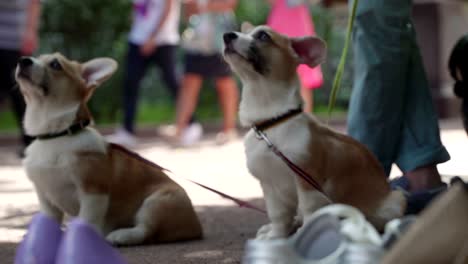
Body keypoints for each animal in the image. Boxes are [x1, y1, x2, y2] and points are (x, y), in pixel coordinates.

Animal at [15, 53, 202, 245]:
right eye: (38, 57)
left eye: (55, 64)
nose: (23, 60)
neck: (57, 135)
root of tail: (196, 226)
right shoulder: (45, 197)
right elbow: (49, 219)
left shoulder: (93, 191)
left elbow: (87, 219)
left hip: (157, 202)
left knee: (146, 230)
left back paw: (120, 235)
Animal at [223, 23, 406, 239]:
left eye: (263, 36)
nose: (227, 35)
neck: (273, 122)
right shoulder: (270, 186)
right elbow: (278, 216)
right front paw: (276, 236)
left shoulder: (307, 181)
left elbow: (309, 211)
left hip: (396, 199)